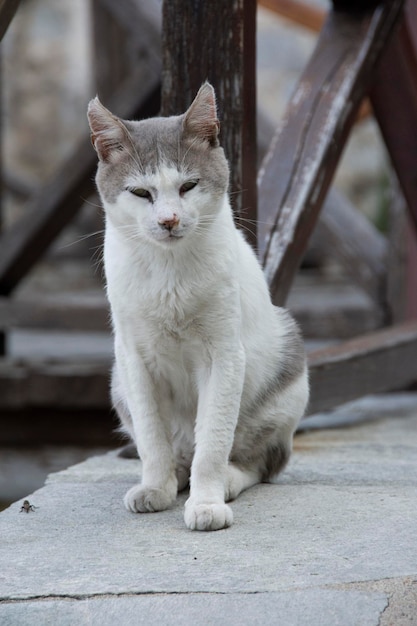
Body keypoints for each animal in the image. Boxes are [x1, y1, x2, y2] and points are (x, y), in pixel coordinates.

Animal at [87, 83, 308, 528]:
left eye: (188, 186)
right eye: (141, 192)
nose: (169, 220)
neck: (169, 272)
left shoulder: (223, 355)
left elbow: (214, 442)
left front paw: (206, 503)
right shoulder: (133, 359)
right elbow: (152, 439)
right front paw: (155, 486)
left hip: (288, 375)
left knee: (259, 462)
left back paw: (227, 481)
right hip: (119, 385)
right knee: (176, 452)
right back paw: (173, 477)